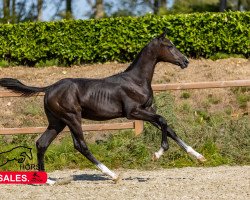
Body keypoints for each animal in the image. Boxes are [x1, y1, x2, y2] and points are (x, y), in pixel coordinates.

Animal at [0, 30, 205, 184]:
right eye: (170, 46)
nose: (185, 61)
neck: (136, 81)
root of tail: (49, 88)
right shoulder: (134, 112)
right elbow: (163, 121)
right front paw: (158, 153)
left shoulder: (148, 111)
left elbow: (169, 128)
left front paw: (198, 156)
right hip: (72, 118)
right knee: (80, 145)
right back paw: (112, 175)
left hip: (57, 122)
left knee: (41, 143)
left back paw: (47, 180)